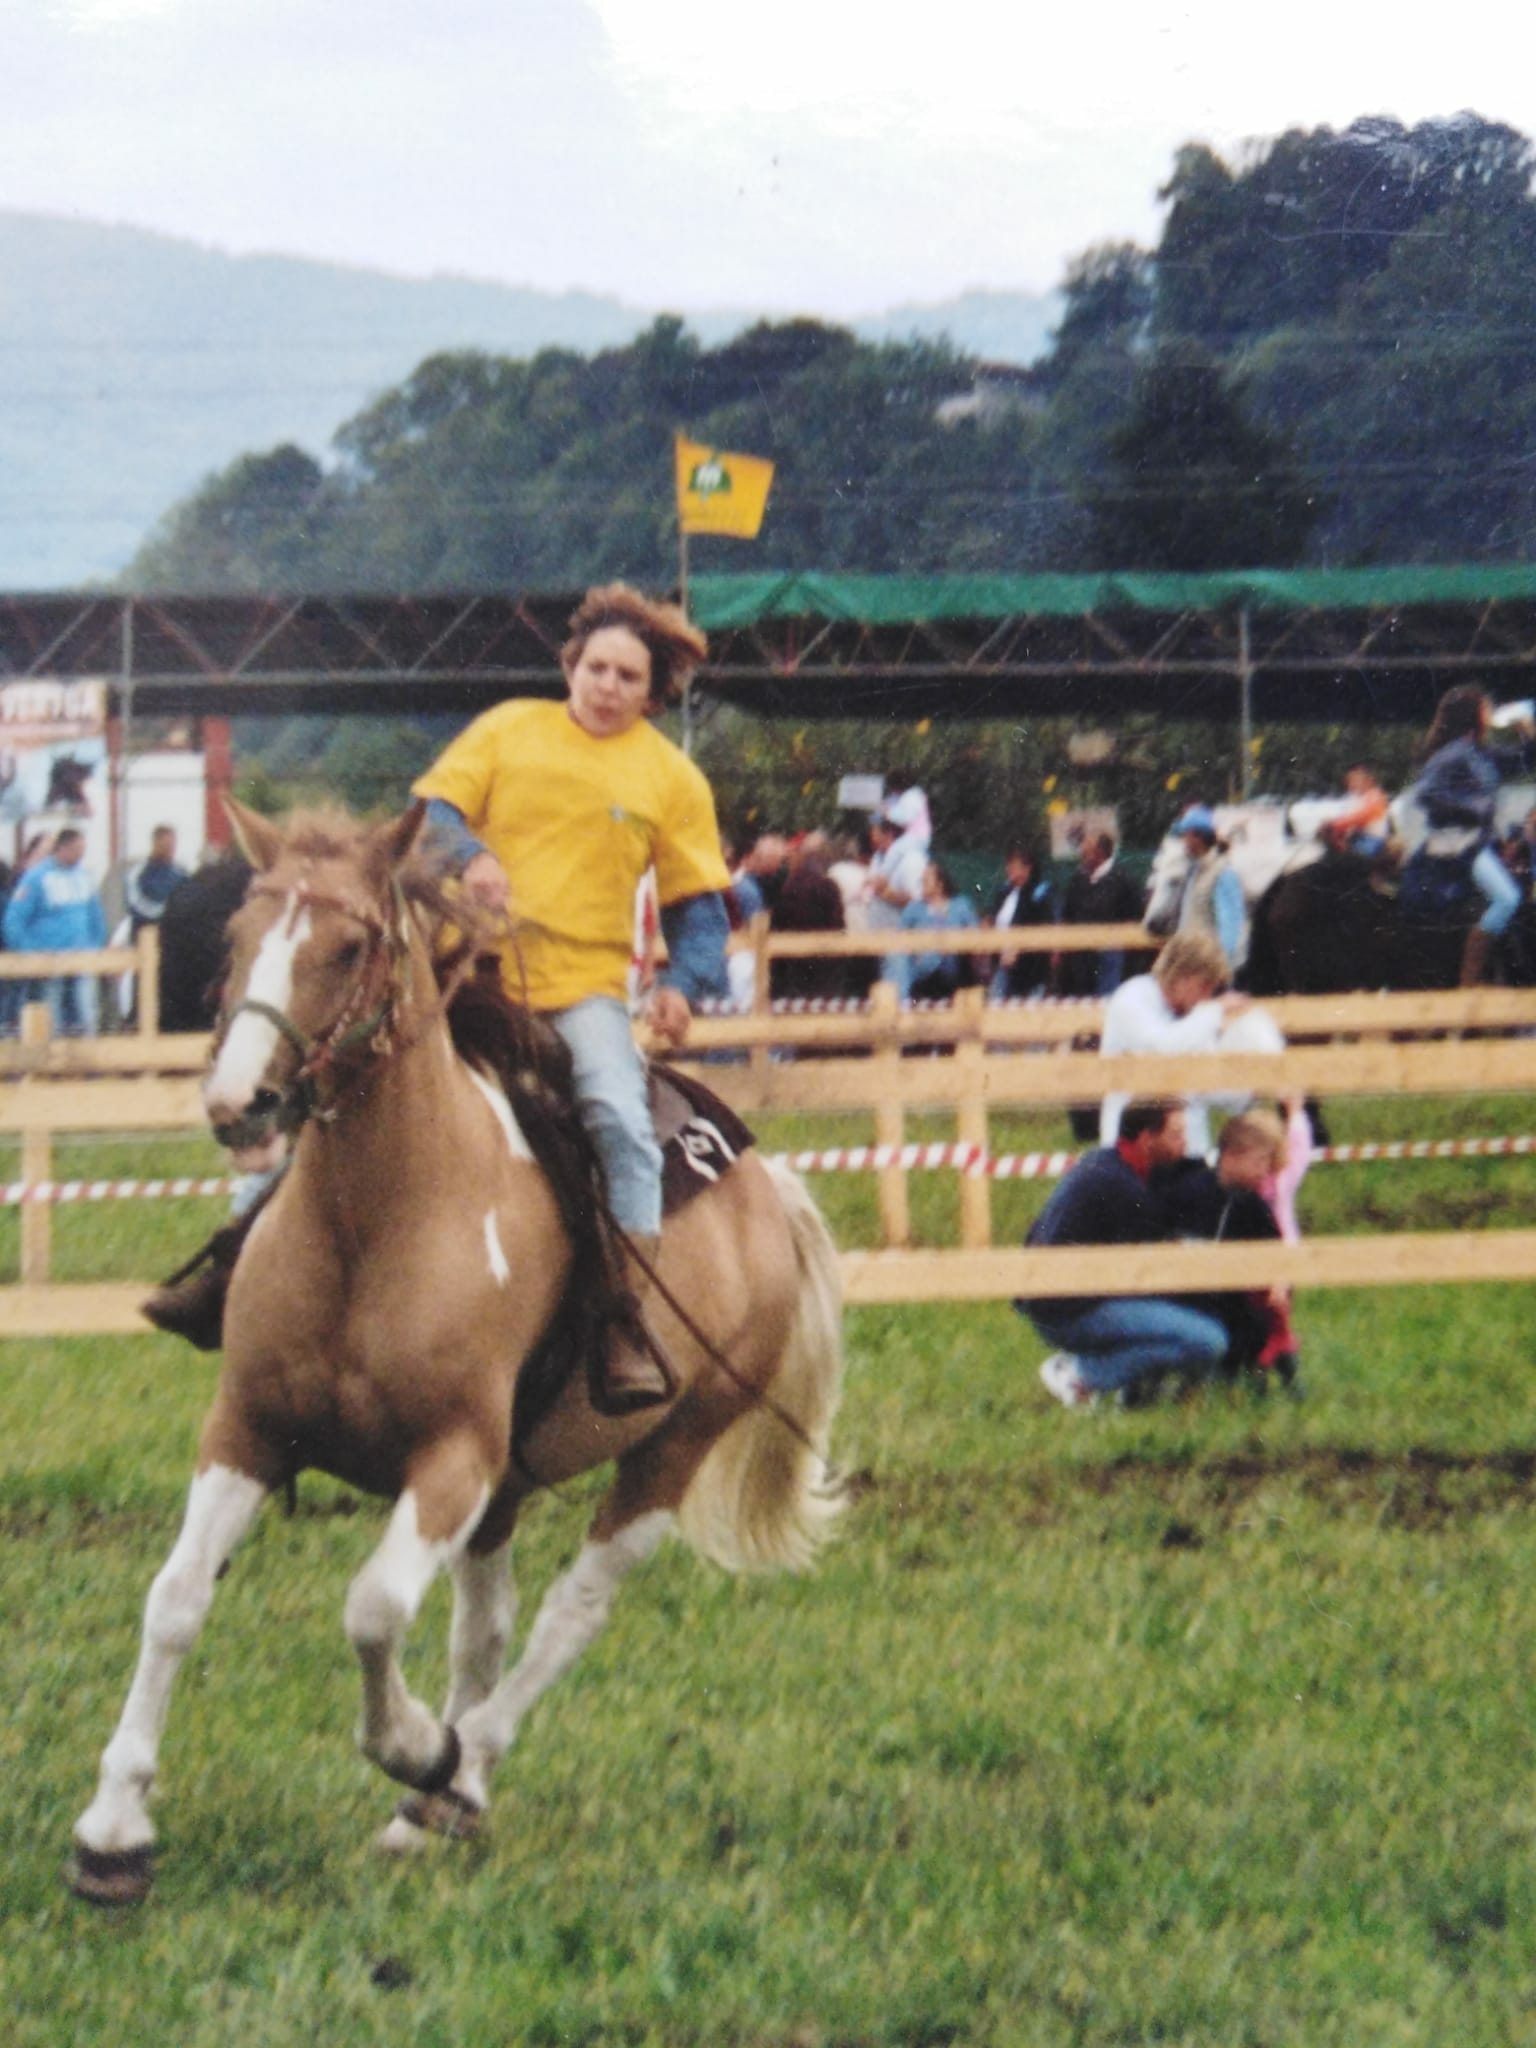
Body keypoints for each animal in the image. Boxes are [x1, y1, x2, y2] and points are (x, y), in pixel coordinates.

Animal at [69, 798, 843, 1900]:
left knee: (571, 1610)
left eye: (349, 945)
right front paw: (114, 1827)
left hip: (671, 1447)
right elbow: (174, 1599)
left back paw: (460, 1773)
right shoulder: (247, 1428)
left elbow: (374, 1608)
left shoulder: (453, 1460)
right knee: (489, 1623)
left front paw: (415, 1745)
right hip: (510, 1486)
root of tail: (767, 1190)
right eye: (236, 933)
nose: (239, 1101)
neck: (380, 1219)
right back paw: (431, 1811)